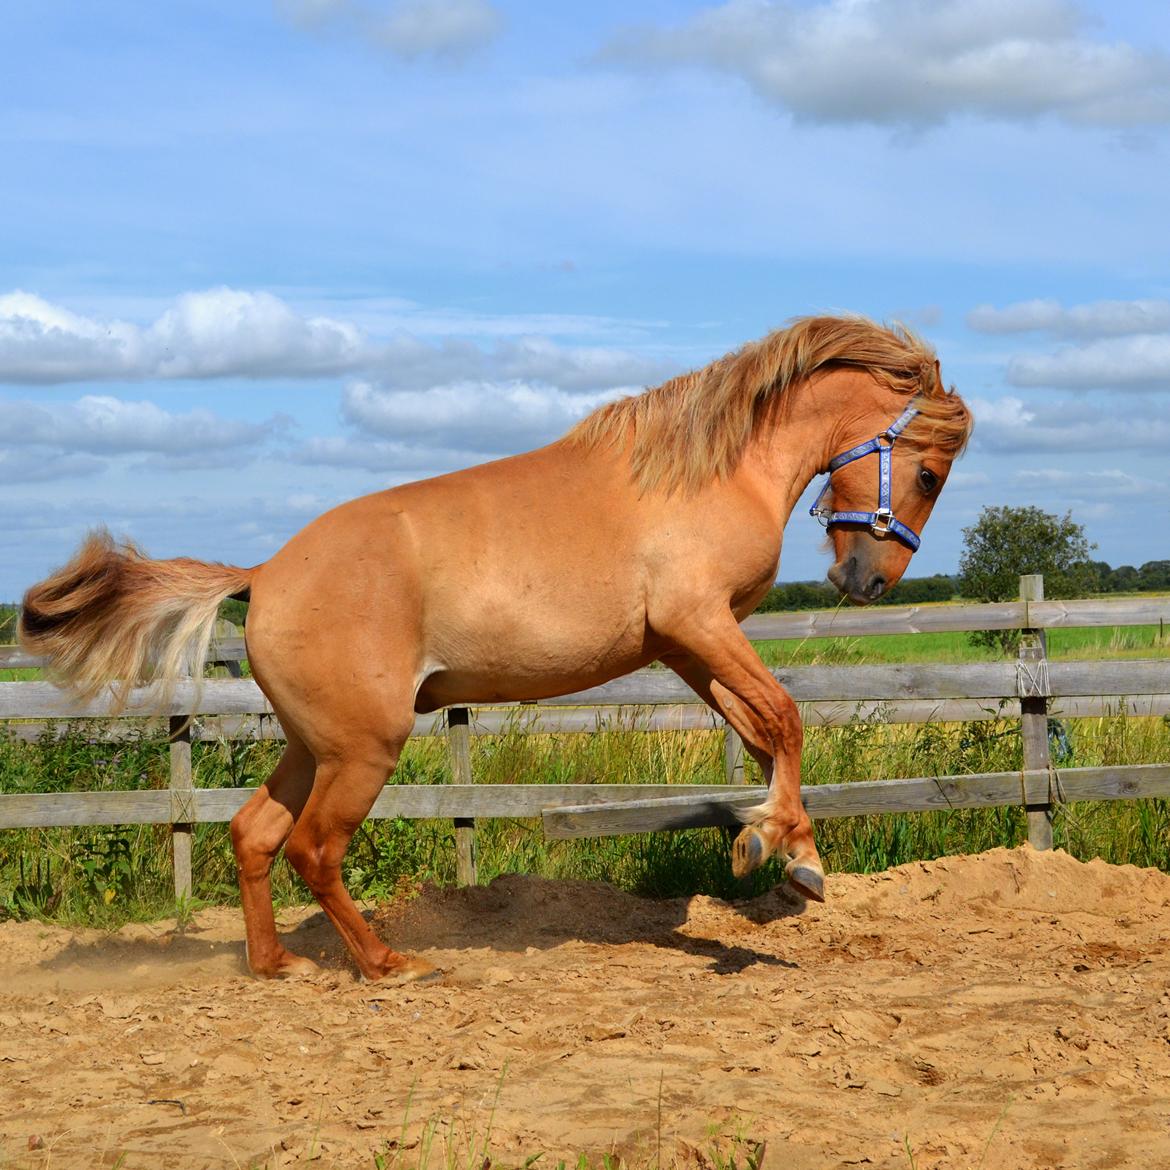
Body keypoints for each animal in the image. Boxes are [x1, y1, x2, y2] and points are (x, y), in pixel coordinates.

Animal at [20, 311, 968, 978]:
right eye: (927, 472)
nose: (867, 579)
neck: (706, 473)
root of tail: (264, 573)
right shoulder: (700, 622)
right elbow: (786, 718)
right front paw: (793, 860)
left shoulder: (687, 645)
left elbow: (762, 730)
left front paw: (775, 844)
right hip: (363, 749)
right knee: (313, 849)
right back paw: (391, 965)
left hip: (314, 743)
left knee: (255, 834)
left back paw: (278, 964)